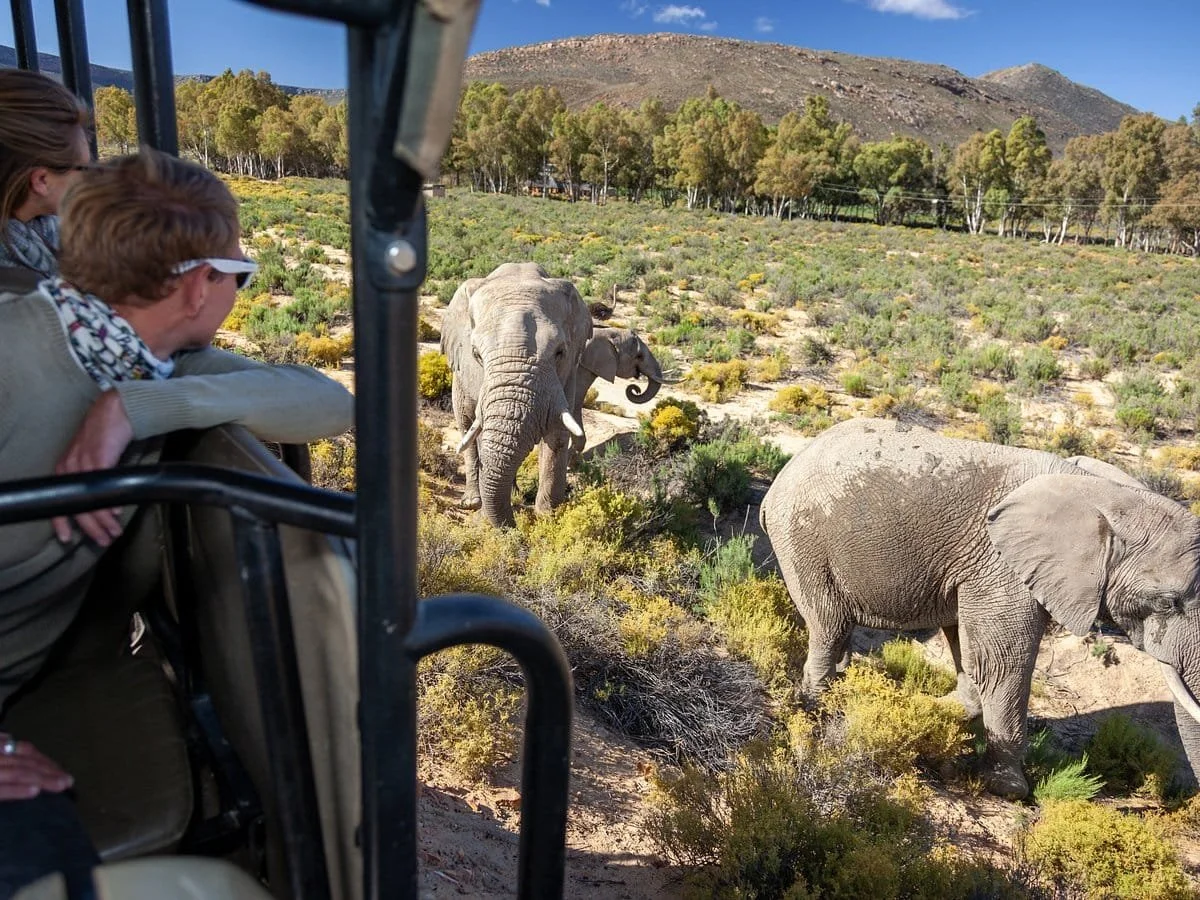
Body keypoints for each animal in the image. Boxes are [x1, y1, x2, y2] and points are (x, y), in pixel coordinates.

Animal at [441, 262, 592, 527]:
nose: (514, 528)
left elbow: (558, 434)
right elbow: (483, 434)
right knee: (467, 426)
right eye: (476, 355)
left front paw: (549, 519)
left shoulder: (568, 372)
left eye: (560, 352)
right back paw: (473, 502)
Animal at [759, 416, 1200, 800]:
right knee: (829, 625)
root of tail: (784, 473)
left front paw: (942, 714)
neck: (1106, 492)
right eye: (1167, 603)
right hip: (803, 540)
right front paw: (1010, 790)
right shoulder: (1002, 565)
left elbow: (976, 655)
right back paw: (819, 706)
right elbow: (1003, 663)